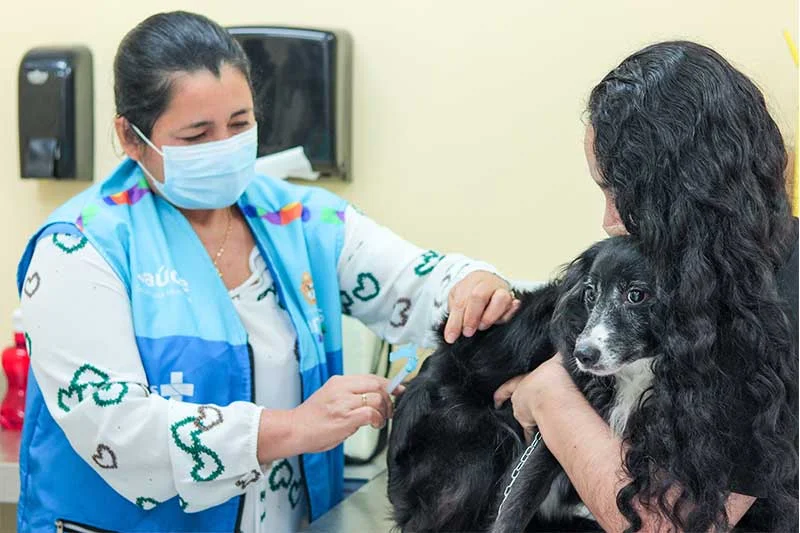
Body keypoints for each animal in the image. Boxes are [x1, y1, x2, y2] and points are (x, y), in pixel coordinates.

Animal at [386, 238, 656, 532]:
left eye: (636, 295)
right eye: (590, 294)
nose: (582, 354)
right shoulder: (552, 428)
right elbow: (515, 504)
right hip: (479, 450)